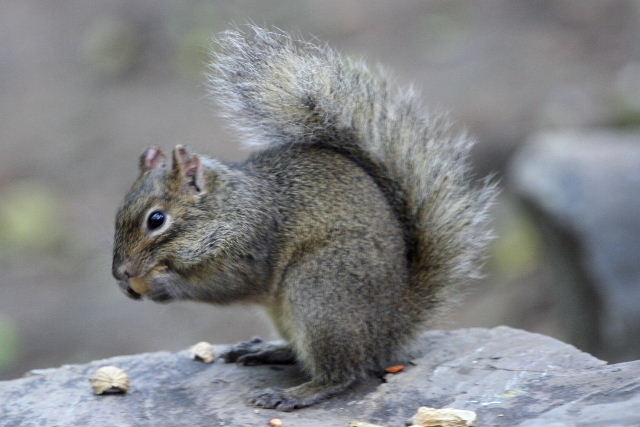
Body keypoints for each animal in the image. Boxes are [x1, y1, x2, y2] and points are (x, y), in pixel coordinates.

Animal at [112, 25, 498, 412]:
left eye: (156, 219)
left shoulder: (251, 244)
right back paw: (268, 351)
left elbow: (226, 284)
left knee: (341, 374)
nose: (120, 273)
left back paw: (293, 394)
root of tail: (389, 328)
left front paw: (162, 285)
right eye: (118, 215)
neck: (228, 207)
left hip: (319, 293)